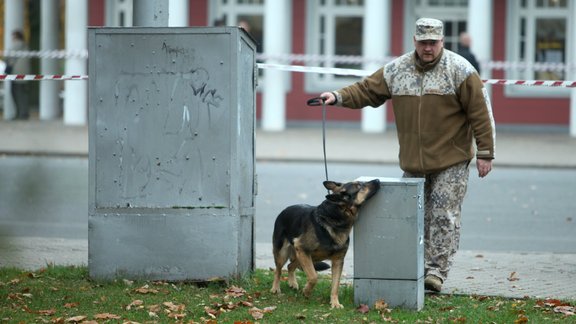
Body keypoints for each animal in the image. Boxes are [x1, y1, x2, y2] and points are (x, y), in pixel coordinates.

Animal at [272, 180, 380, 308]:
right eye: (359, 186)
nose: (378, 180)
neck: (335, 217)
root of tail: (284, 210)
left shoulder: (337, 261)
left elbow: (335, 285)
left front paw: (335, 303)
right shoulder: (302, 249)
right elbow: (314, 276)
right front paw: (306, 292)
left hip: (305, 257)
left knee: (290, 266)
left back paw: (292, 282)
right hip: (284, 253)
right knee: (278, 270)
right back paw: (275, 288)